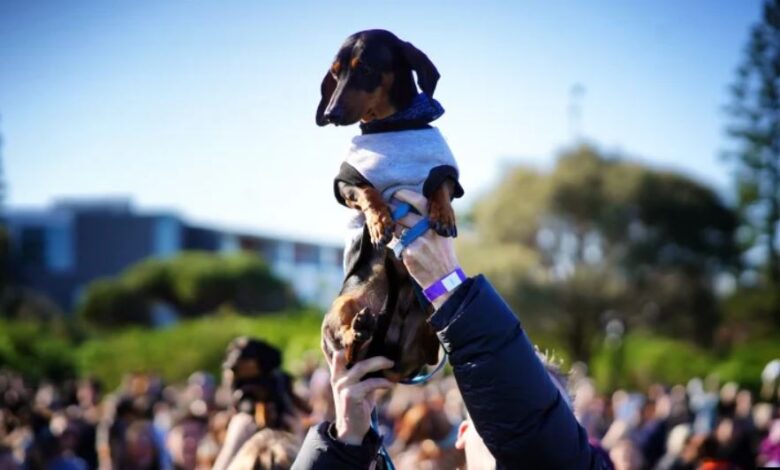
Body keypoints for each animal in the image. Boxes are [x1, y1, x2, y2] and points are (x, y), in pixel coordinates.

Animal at [316, 29, 464, 380]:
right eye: (335, 73)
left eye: (365, 68)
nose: (330, 114)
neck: (393, 125)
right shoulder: (346, 180)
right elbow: (368, 192)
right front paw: (380, 221)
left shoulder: (446, 171)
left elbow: (441, 185)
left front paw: (443, 215)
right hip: (340, 307)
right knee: (349, 351)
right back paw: (358, 330)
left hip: (427, 331)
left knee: (432, 345)